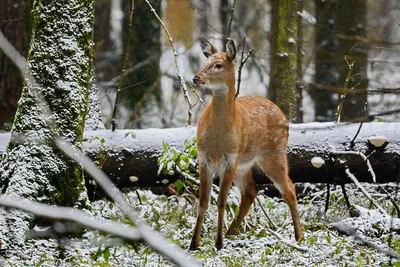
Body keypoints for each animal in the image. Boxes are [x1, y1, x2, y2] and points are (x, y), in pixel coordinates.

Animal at [189, 37, 302, 251]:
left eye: (218, 65)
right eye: (204, 62)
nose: (196, 78)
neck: (218, 140)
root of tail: (282, 113)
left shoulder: (230, 159)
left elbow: (221, 201)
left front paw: (218, 243)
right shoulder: (203, 158)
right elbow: (203, 201)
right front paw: (194, 244)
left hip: (273, 154)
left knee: (289, 188)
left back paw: (299, 237)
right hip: (244, 165)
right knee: (250, 191)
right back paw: (230, 233)